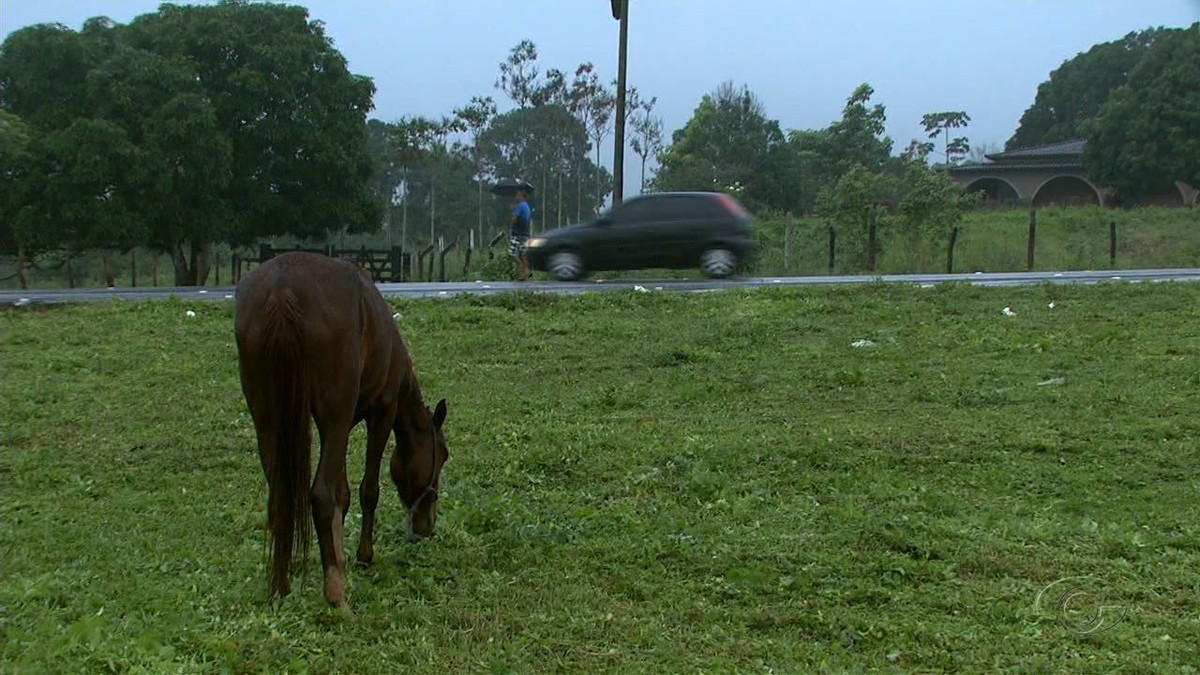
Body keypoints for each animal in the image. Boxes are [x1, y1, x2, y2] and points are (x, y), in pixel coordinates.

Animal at [231, 249, 448, 607]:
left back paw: (281, 587)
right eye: (443, 456)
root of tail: (281, 289)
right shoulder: (380, 414)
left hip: (268, 417)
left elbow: (342, 495)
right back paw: (336, 595)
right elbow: (366, 491)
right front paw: (361, 557)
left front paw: (339, 556)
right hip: (334, 415)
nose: (427, 525)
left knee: (280, 497)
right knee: (318, 495)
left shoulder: (341, 426)